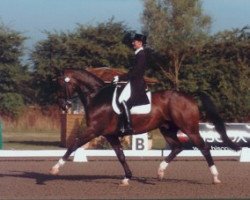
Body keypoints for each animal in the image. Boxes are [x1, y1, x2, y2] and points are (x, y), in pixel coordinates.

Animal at [49, 69, 239, 186]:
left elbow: (73, 145)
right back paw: (160, 172)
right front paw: (126, 178)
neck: (98, 97)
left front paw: (55, 169)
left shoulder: (93, 130)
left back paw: (215, 177)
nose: (63, 105)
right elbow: (121, 156)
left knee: (204, 147)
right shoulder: (110, 135)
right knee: (177, 147)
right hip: (167, 128)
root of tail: (190, 96)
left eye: (61, 84)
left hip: (189, 128)